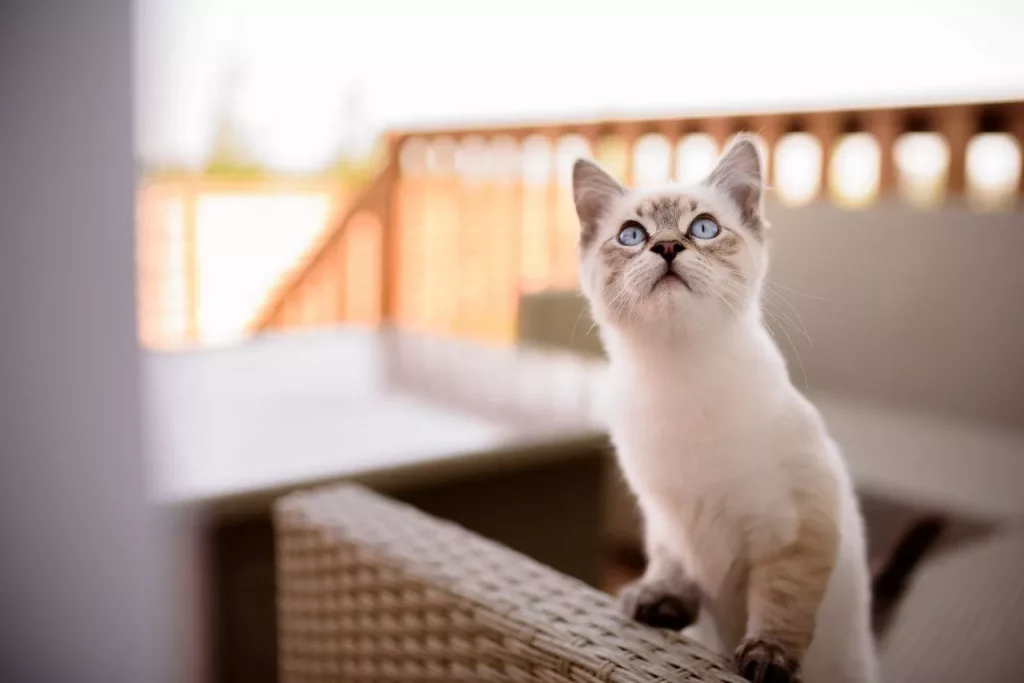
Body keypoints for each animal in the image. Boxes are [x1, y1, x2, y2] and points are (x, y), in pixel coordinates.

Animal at [577, 137, 880, 683]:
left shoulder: (795, 527)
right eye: (632, 235)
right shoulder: (665, 516)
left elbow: (780, 604)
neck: (678, 375)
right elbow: (671, 565)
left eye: (703, 228)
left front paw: (766, 659)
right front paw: (659, 603)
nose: (667, 247)